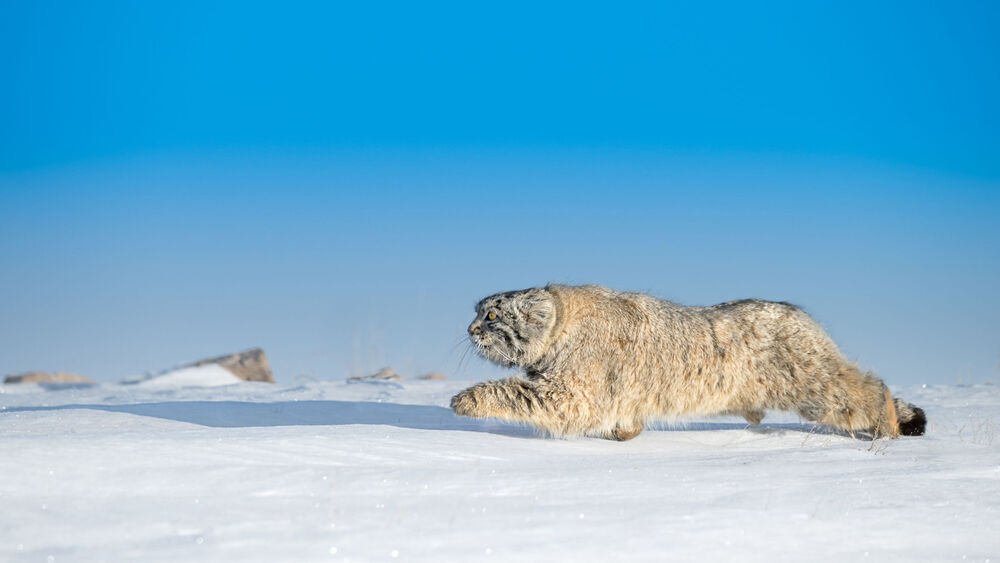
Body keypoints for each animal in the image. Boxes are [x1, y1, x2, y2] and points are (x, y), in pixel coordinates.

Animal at [450, 286, 924, 440]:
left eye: (490, 316)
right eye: (477, 313)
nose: (469, 329)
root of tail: (800, 315)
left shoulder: (573, 392)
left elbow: (516, 394)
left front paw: (467, 400)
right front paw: (625, 432)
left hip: (814, 385)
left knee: (870, 387)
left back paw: (886, 425)